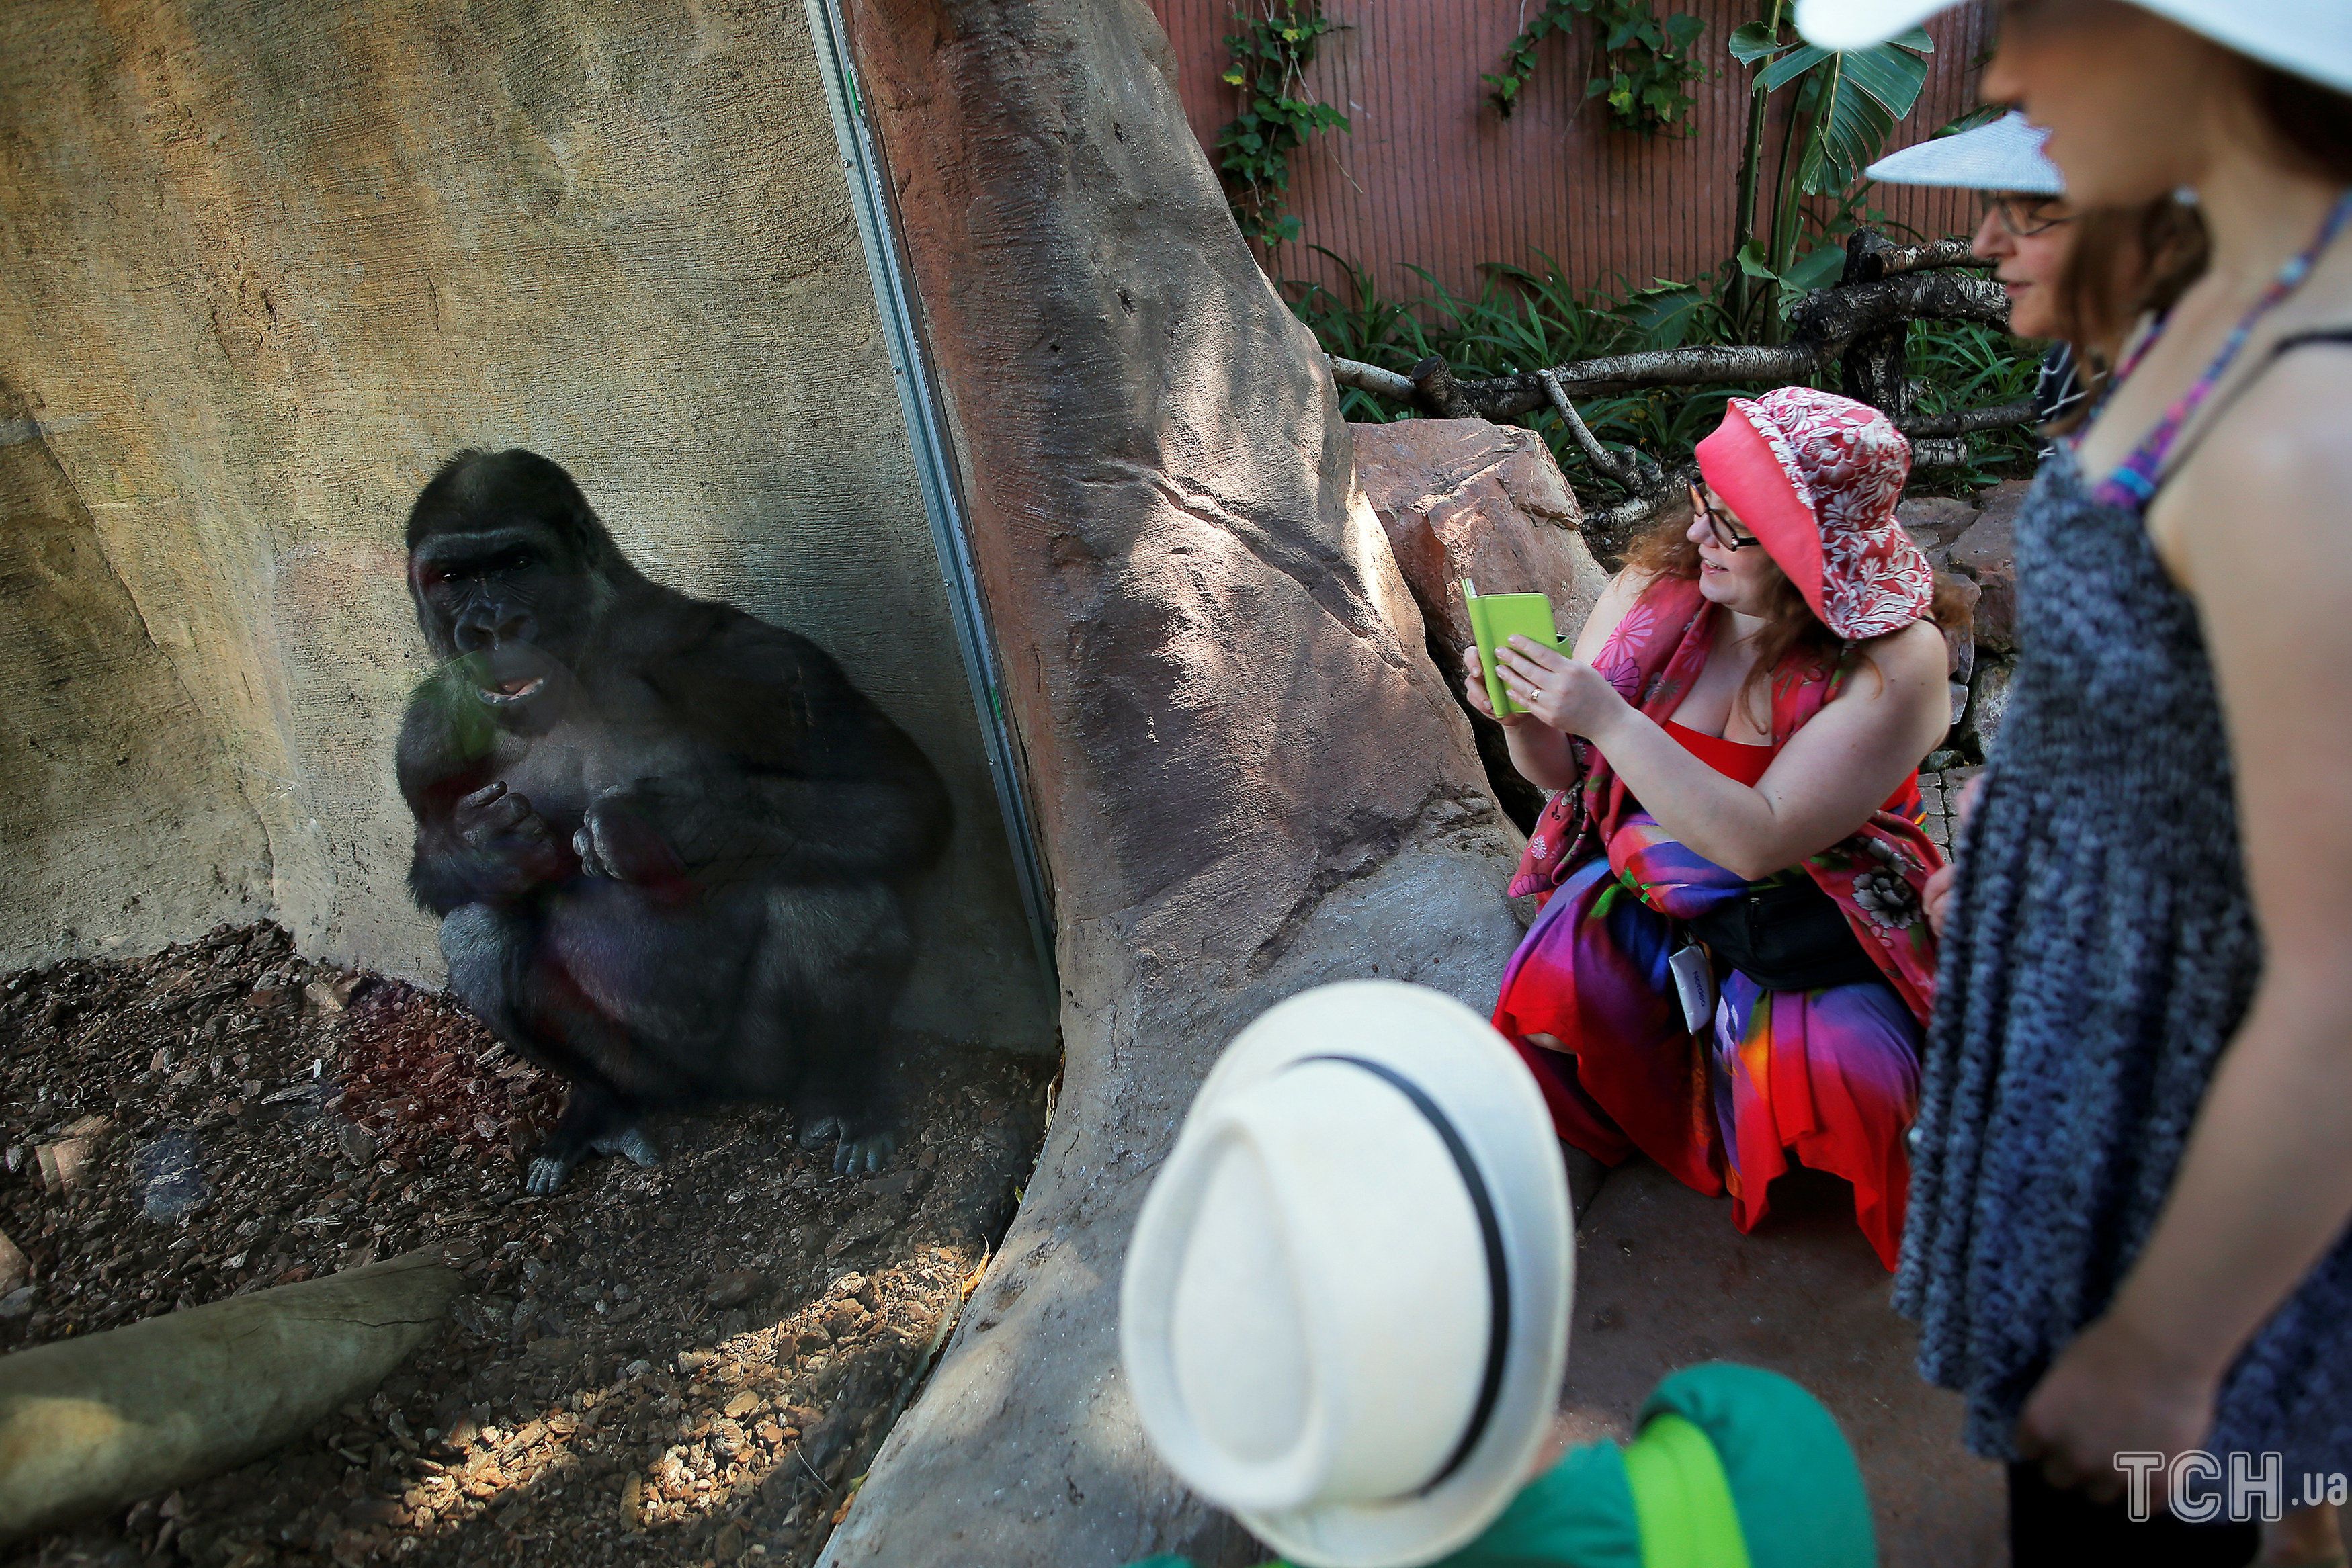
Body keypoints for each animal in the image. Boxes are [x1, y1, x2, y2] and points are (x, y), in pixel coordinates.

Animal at [400, 451, 950, 1189]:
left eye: (517, 562)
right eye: (453, 579)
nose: (490, 630)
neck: (583, 660)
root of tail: (709, 1092)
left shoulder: (743, 658)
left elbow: (902, 796)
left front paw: (675, 823)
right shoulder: (428, 730)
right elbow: (438, 870)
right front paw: (481, 848)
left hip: (758, 1064)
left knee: (829, 893)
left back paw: (844, 1091)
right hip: (647, 1072)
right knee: (478, 930)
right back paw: (600, 1107)